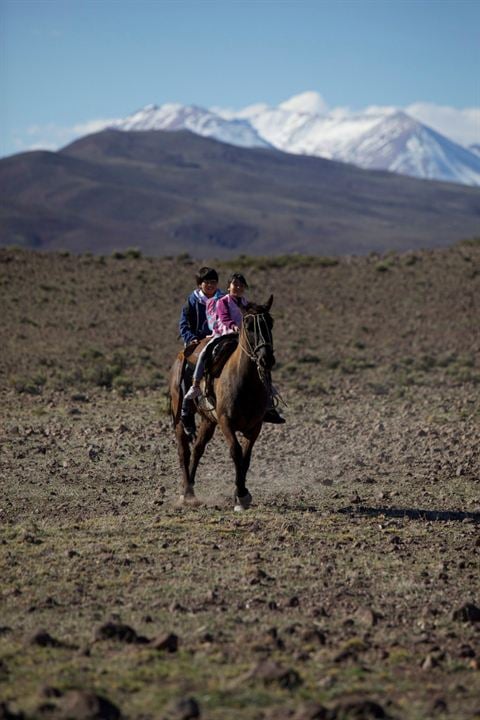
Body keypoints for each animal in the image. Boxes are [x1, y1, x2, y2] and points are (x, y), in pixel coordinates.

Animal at [168, 296, 274, 510]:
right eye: (249, 326)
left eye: (271, 323)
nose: (266, 359)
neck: (245, 383)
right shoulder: (226, 423)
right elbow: (236, 452)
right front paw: (240, 495)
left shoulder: (255, 426)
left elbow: (246, 458)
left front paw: (242, 493)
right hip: (180, 418)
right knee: (184, 451)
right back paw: (186, 492)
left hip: (208, 420)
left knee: (198, 449)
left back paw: (191, 487)